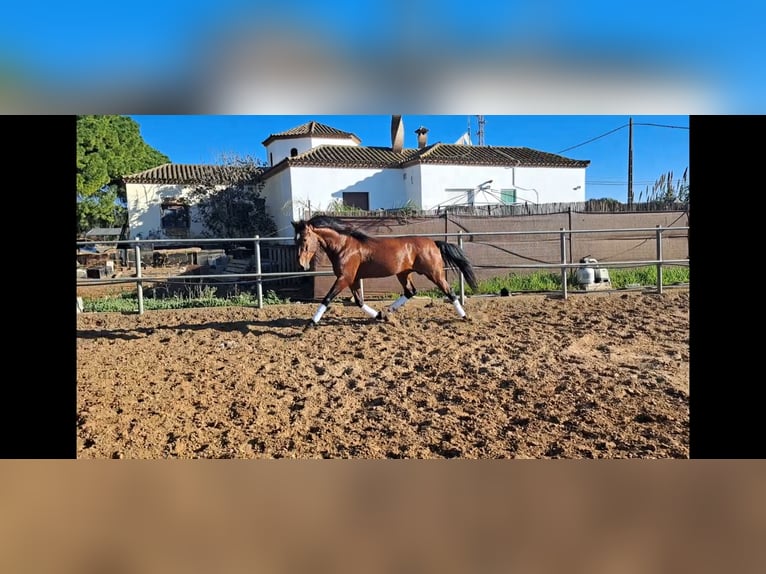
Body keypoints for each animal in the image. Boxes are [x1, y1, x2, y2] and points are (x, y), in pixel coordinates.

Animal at [292, 216, 476, 332]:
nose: (301, 265)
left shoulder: (344, 278)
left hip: (434, 273)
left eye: (304, 239)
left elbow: (327, 298)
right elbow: (359, 302)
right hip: (403, 274)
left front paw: (309, 324)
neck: (344, 246)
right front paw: (380, 315)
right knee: (410, 291)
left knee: (449, 292)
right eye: (296, 239)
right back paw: (388, 312)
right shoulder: (353, 279)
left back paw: (465, 317)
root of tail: (434, 243)